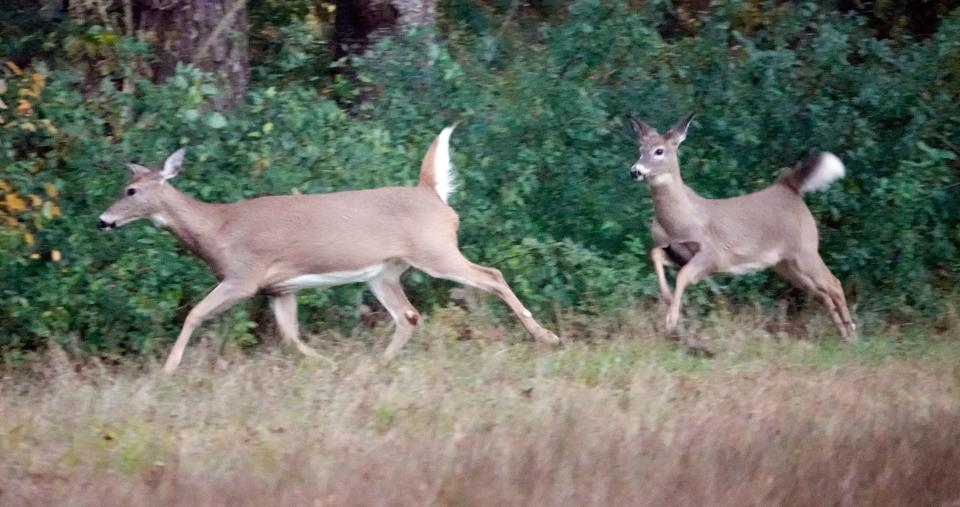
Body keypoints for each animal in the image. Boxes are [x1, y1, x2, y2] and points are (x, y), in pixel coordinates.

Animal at [95, 127, 564, 374]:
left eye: (131, 190)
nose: (102, 220)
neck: (216, 229)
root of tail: (433, 195)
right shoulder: (279, 288)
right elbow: (290, 334)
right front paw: (324, 363)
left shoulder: (244, 275)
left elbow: (194, 313)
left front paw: (168, 369)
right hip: (384, 272)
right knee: (409, 315)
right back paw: (378, 364)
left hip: (435, 250)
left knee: (491, 275)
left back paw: (548, 337)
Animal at [628, 114, 860, 342]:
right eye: (640, 149)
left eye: (659, 151)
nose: (635, 171)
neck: (679, 220)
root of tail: (788, 187)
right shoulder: (678, 252)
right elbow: (656, 253)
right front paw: (667, 298)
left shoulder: (712, 254)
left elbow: (683, 275)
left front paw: (671, 321)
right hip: (785, 263)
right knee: (822, 293)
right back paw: (844, 335)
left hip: (805, 250)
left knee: (834, 284)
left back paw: (852, 335)